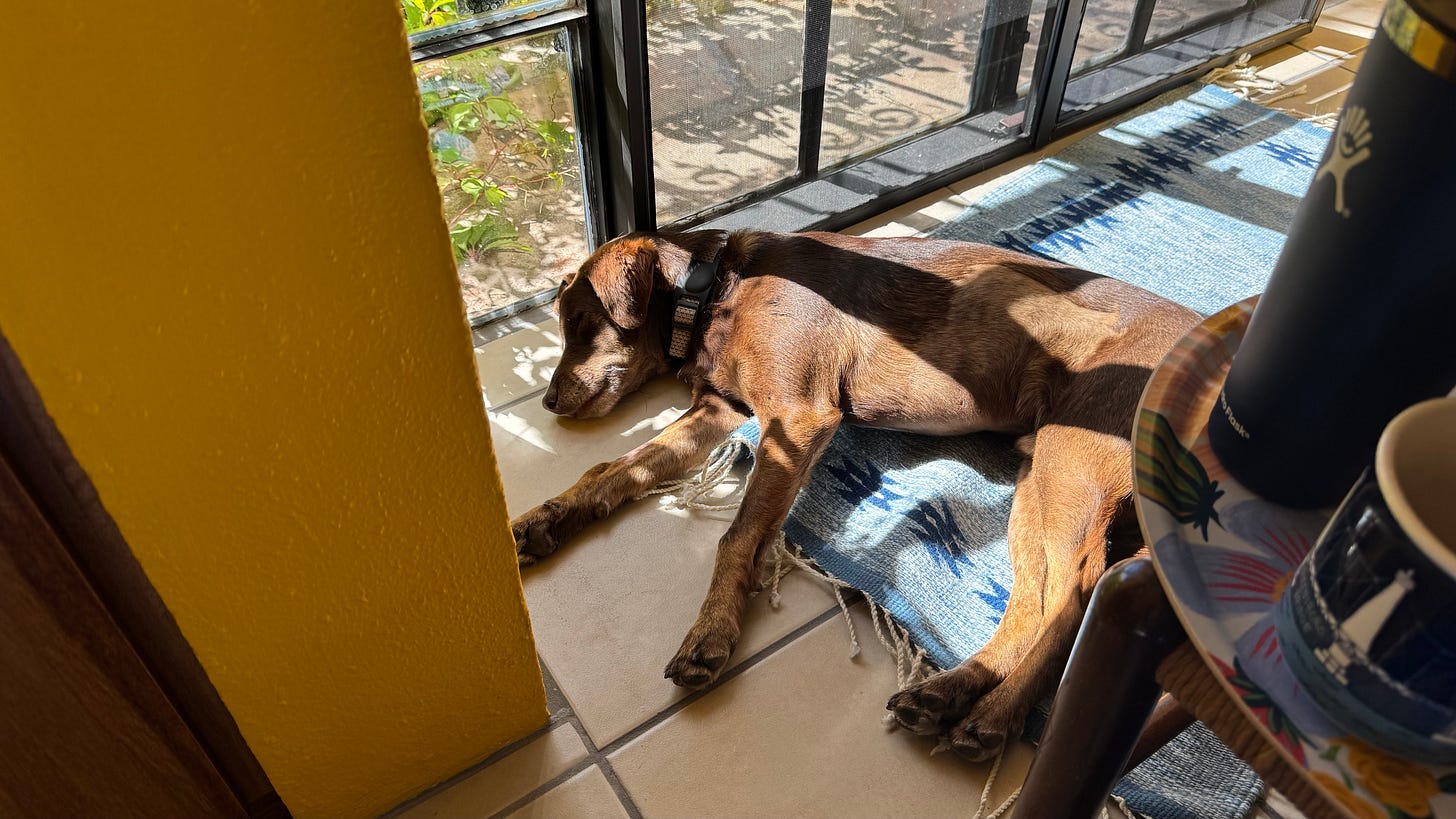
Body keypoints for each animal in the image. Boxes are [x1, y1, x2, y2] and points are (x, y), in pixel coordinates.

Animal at [512, 225, 1193, 757]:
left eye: (581, 323)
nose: (546, 402)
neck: (714, 292)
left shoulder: (797, 418)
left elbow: (739, 534)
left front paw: (711, 631)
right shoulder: (719, 411)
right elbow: (614, 470)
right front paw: (546, 519)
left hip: (1072, 463)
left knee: (1075, 594)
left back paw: (995, 717)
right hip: (1038, 480)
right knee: (1038, 600)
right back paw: (949, 692)